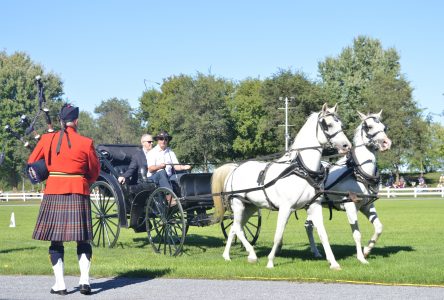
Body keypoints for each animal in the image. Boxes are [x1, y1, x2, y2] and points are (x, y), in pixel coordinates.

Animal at [212, 103, 350, 270]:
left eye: (341, 124)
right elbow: (278, 235)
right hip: (238, 204)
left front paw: (334, 263)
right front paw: (271, 261)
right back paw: (252, 255)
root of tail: (235, 168)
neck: (302, 169)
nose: (347, 145)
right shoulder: (286, 208)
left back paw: (227, 256)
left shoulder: (314, 206)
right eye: (328, 125)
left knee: (234, 228)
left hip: (250, 207)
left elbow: (323, 234)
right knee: (238, 228)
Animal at [306, 110, 392, 262]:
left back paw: (316, 252)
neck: (358, 172)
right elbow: (357, 234)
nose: (386, 143)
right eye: (369, 126)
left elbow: (379, 227)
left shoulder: (367, 206)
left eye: (384, 127)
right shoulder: (350, 206)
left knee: (309, 226)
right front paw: (361, 258)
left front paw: (367, 250)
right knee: (309, 226)